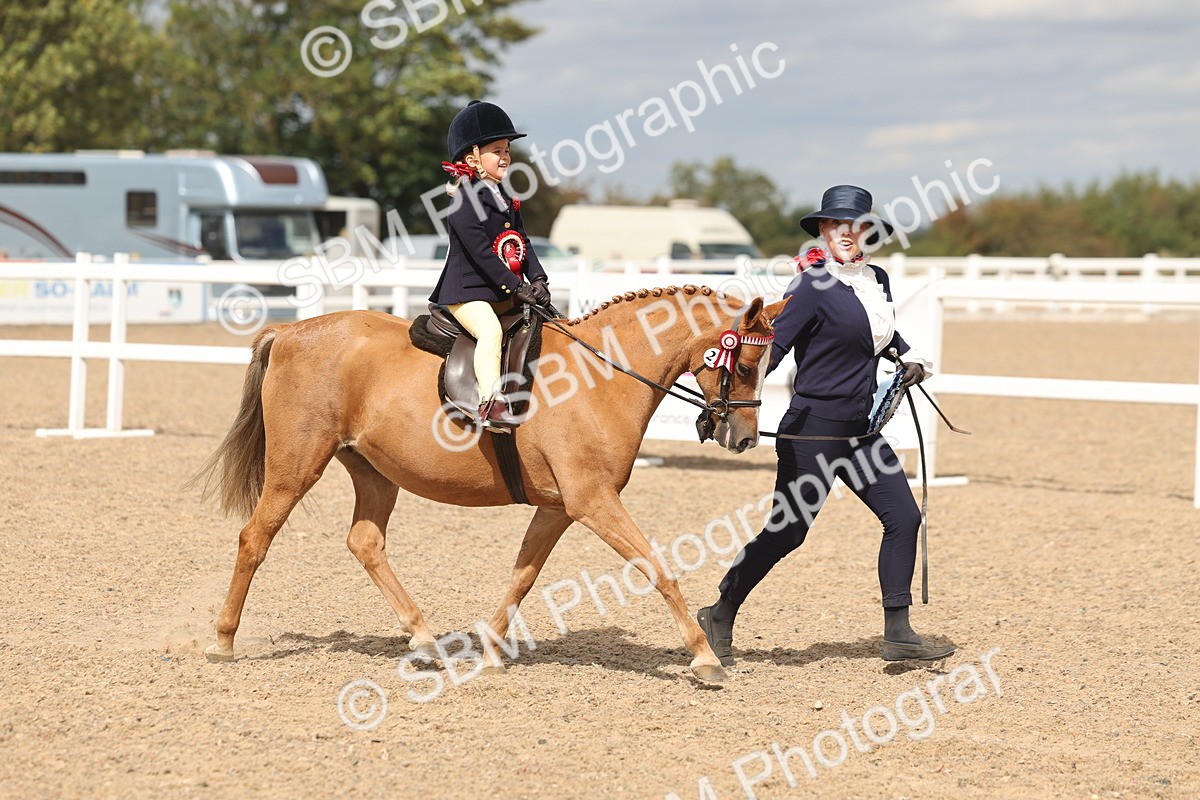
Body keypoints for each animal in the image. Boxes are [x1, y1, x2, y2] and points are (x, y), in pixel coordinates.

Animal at [192, 285, 787, 682]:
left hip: (375, 473)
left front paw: (495, 650)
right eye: (746, 363)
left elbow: (524, 575)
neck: (602, 376)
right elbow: (658, 569)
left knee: (364, 542)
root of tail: (291, 330)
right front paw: (705, 657)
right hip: (297, 466)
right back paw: (222, 641)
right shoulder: (593, 501)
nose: (743, 438)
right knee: (255, 538)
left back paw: (425, 639)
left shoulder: (560, 507)